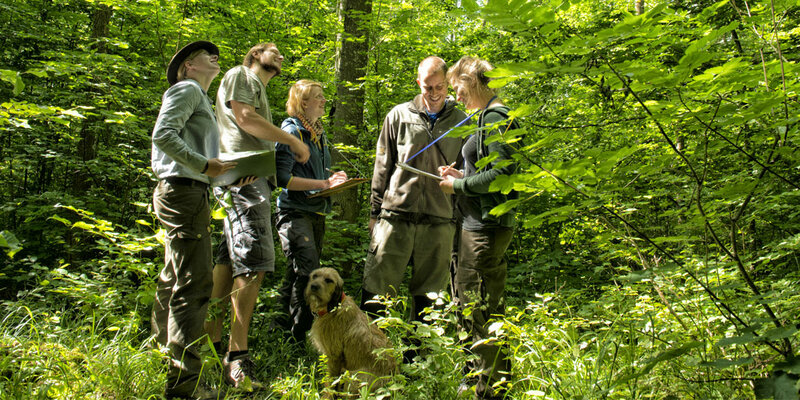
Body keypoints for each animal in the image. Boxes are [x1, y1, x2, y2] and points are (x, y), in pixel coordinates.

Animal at [304, 268, 396, 396]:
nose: (313, 286)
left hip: (353, 378)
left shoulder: (333, 356)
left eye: (329, 280)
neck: (333, 307)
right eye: (314, 276)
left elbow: (330, 383)